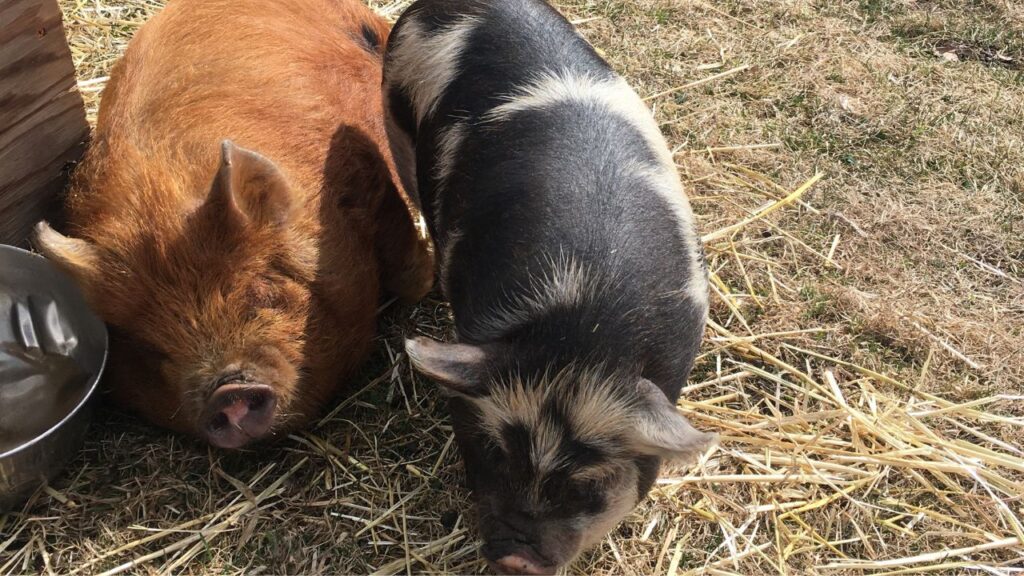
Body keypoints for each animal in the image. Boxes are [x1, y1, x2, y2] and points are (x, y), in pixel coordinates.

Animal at [32, 0, 433, 449]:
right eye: (151, 348)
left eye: (260, 290)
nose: (227, 392)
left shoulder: (365, 161)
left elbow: (403, 257)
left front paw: (427, 276)